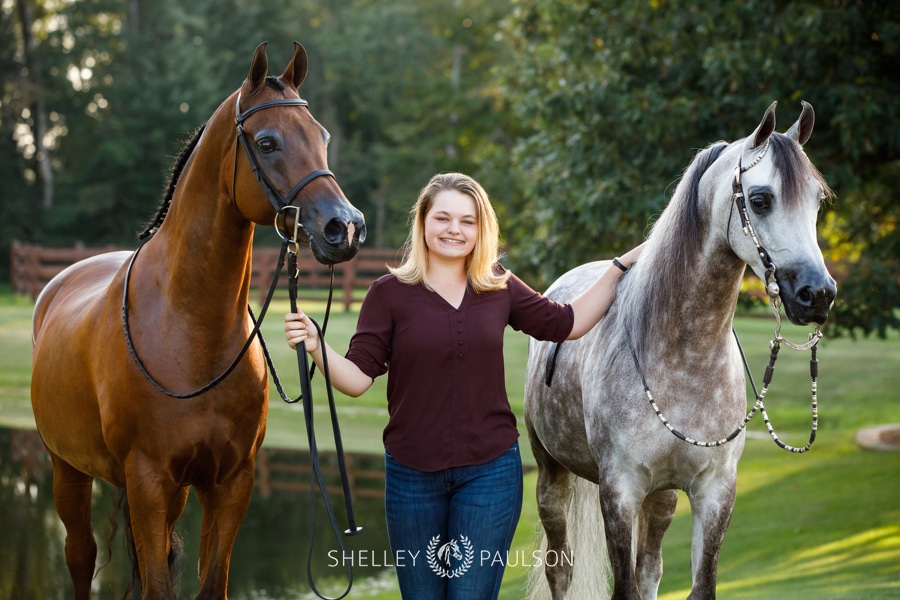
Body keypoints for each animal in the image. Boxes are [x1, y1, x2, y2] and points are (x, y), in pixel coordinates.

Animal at [30, 42, 366, 600]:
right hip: (67, 471)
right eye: (267, 142)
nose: (346, 227)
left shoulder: (229, 483)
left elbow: (209, 583)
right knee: (80, 557)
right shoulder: (147, 481)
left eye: (321, 136)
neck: (190, 333)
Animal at [524, 102, 832, 600]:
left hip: (663, 496)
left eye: (817, 201)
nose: (818, 294)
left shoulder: (714, 492)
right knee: (561, 569)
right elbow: (623, 587)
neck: (684, 360)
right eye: (761, 199)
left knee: (650, 567)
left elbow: (694, 584)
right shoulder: (619, 491)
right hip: (552, 476)